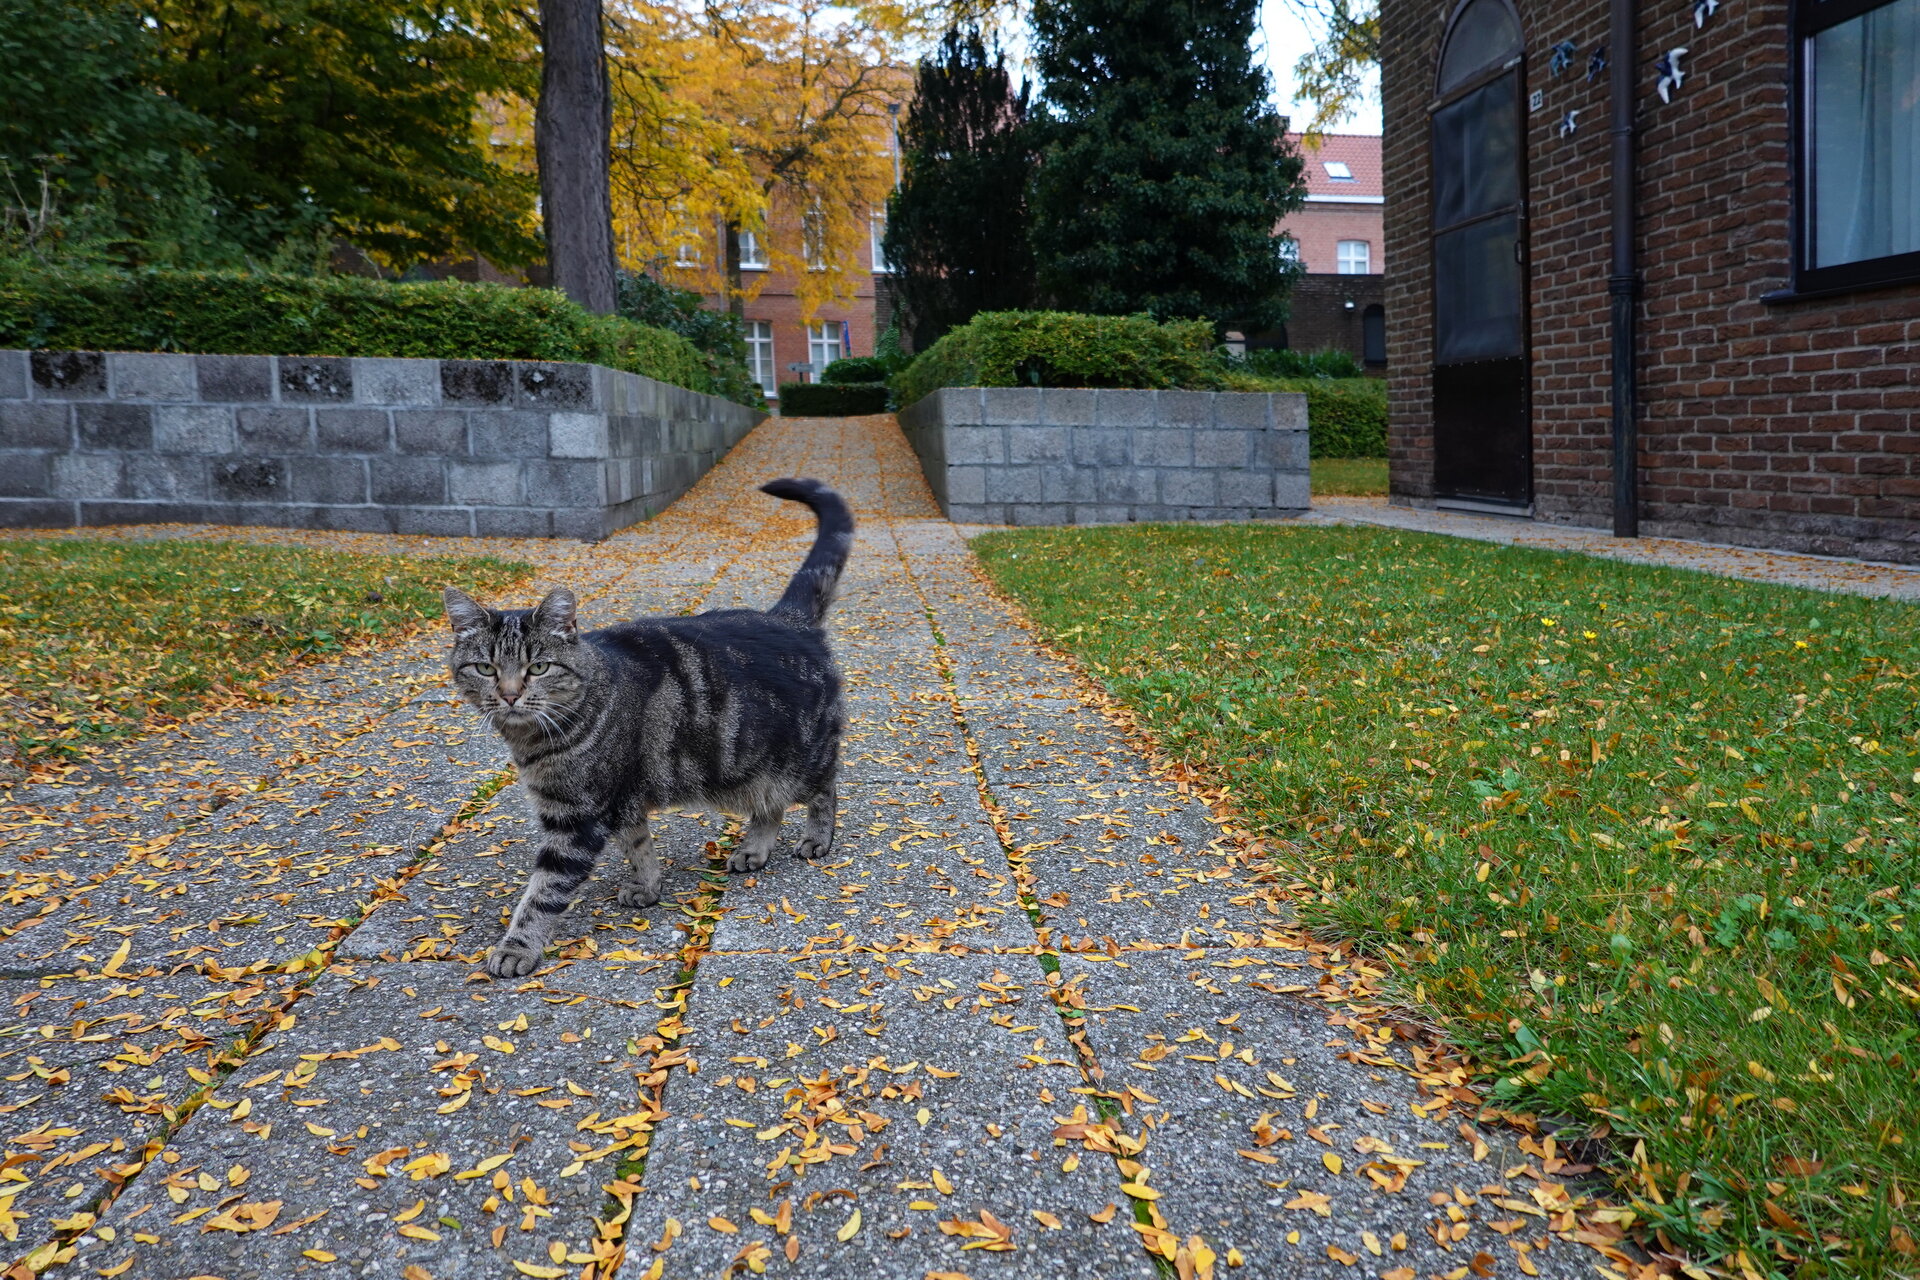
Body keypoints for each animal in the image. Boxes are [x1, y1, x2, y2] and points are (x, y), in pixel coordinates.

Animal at [445, 475, 852, 974]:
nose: (508, 694)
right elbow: (638, 846)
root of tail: (787, 618)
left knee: (825, 789)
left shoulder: (576, 819)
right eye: (485, 668)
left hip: (797, 761)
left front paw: (516, 947)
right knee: (768, 806)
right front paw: (649, 887)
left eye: (538, 667)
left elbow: (542, 893)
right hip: (746, 767)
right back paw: (754, 849)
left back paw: (817, 837)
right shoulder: (622, 802)